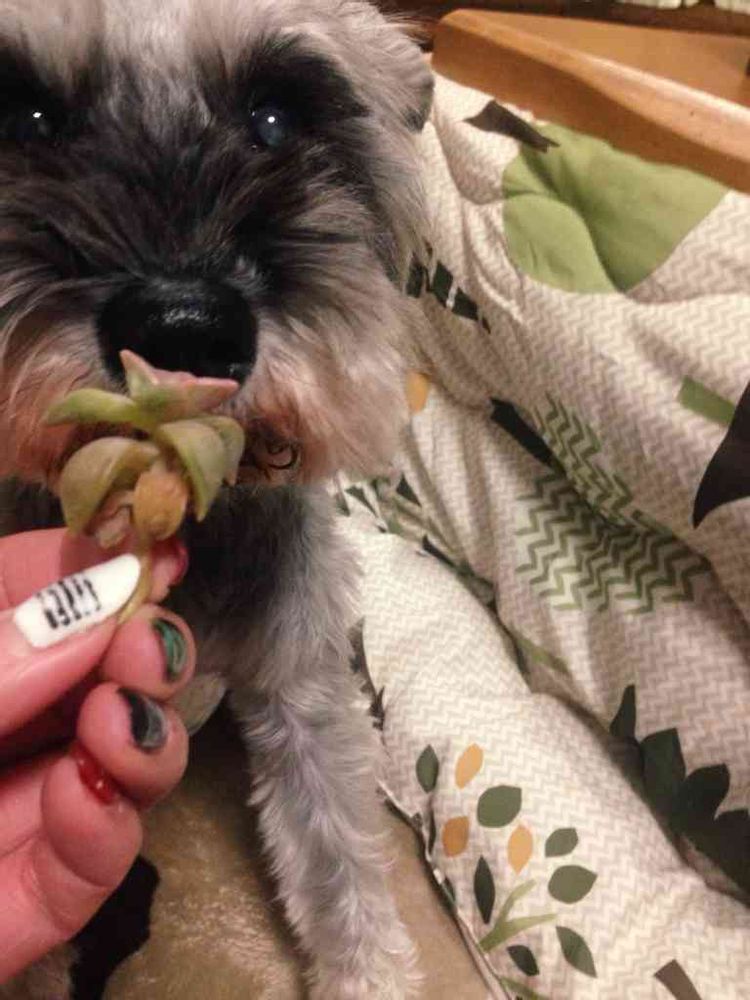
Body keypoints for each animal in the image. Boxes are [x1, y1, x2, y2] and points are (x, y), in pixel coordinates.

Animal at [0, 1, 433, 995]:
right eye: (24, 116)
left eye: (277, 115)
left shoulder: (304, 689)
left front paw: (369, 972)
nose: (185, 328)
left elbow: (341, 857)